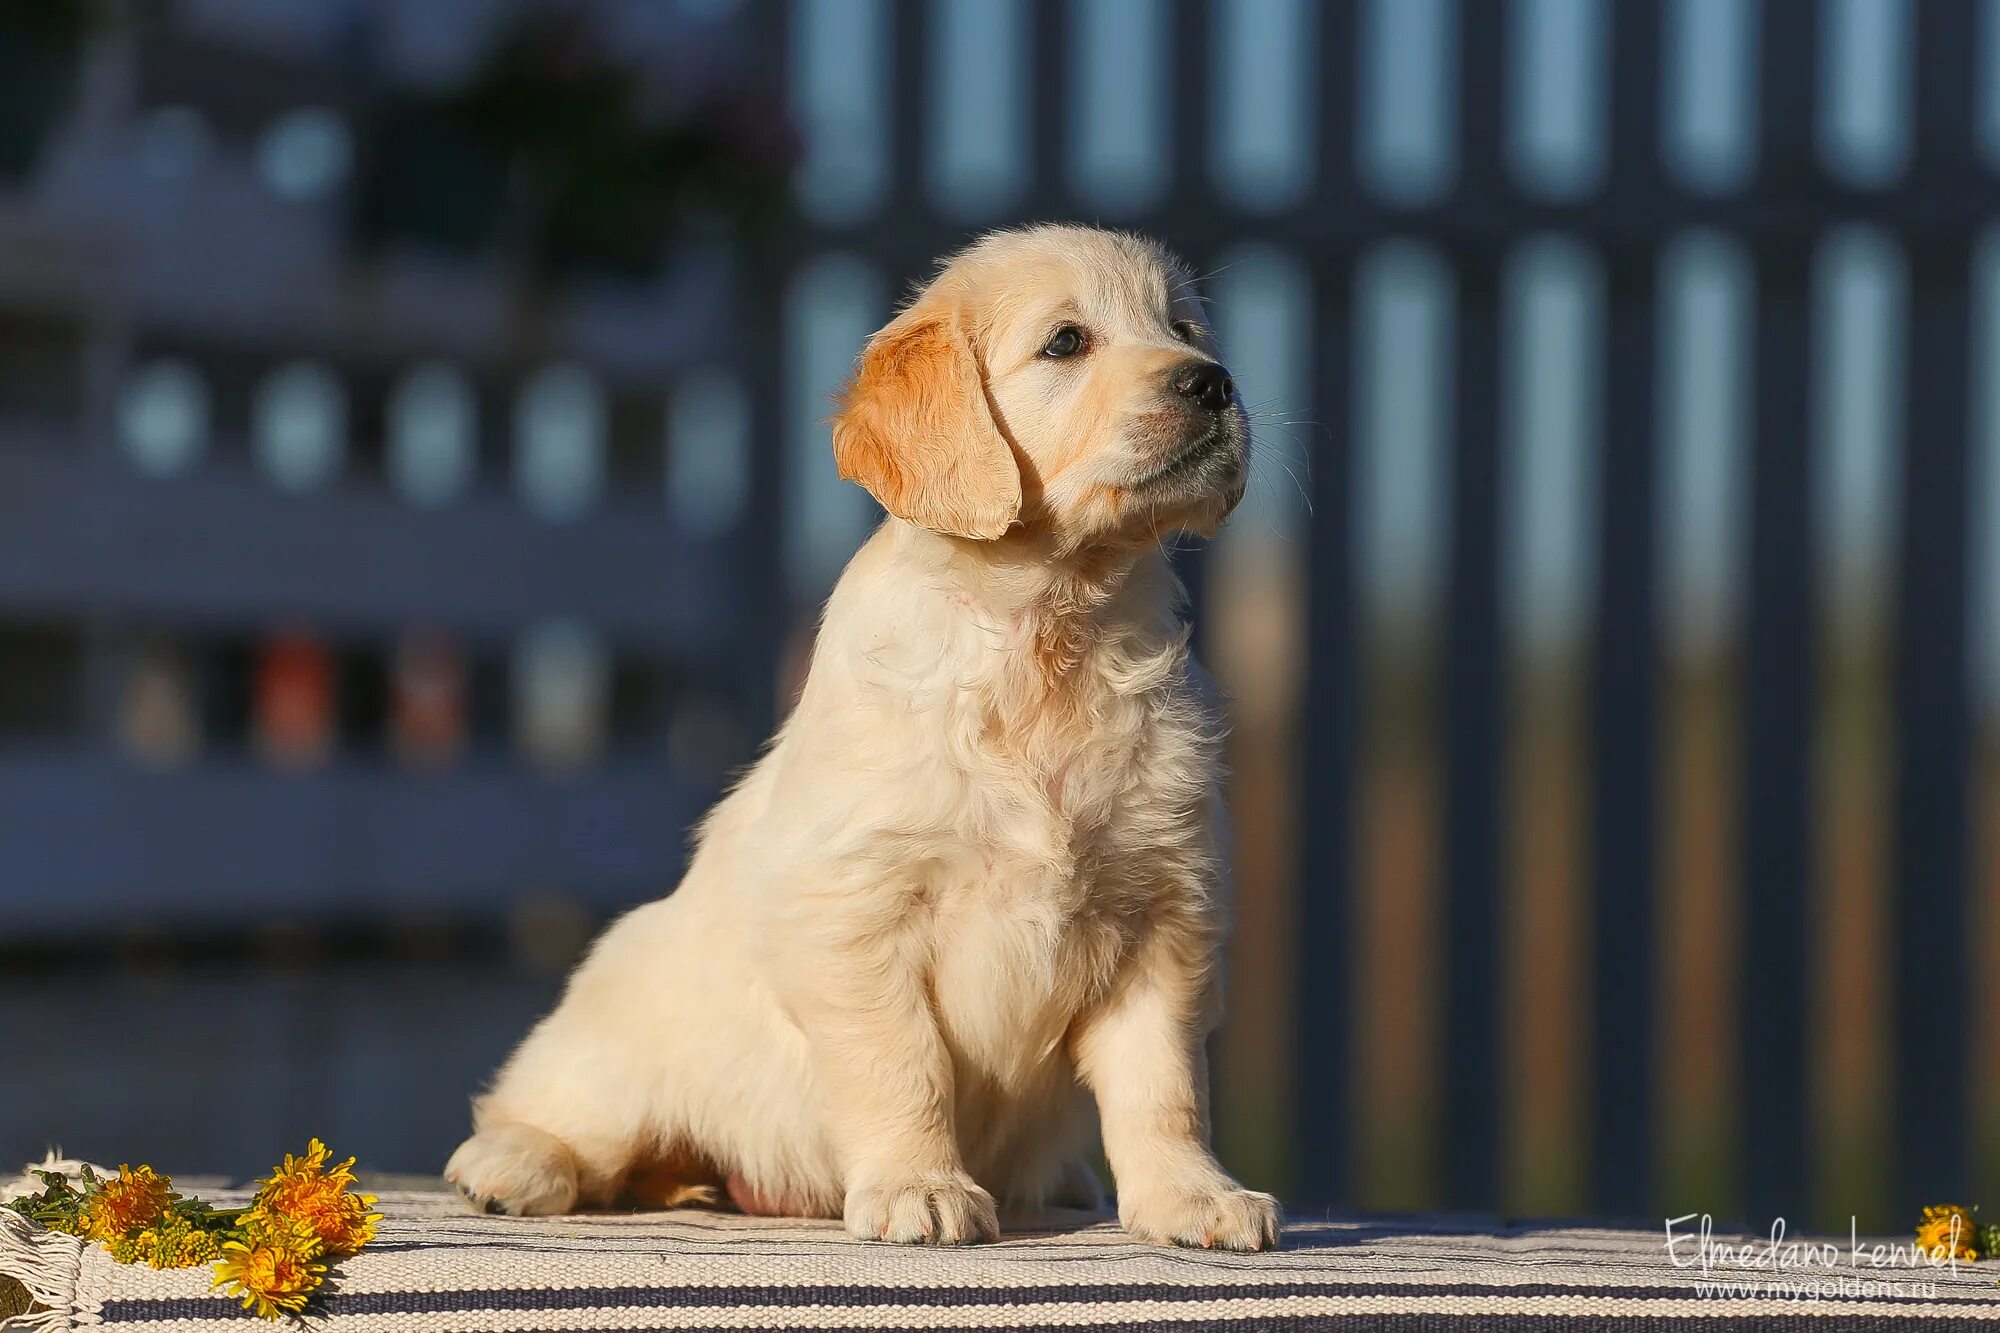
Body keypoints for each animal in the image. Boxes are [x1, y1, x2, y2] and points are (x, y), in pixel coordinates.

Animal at [446, 223, 1272, 1248]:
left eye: (1185, 327)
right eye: (1066, 342)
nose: (1214, 383)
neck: (1049, 634)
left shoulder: (1165, 914)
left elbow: (1164, 1083)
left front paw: (1192, 1194)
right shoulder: (855, 908)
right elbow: (902, 1064)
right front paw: (921, 1184)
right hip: (621, 1017)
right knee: (558, 1110)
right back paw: (513, 1161)